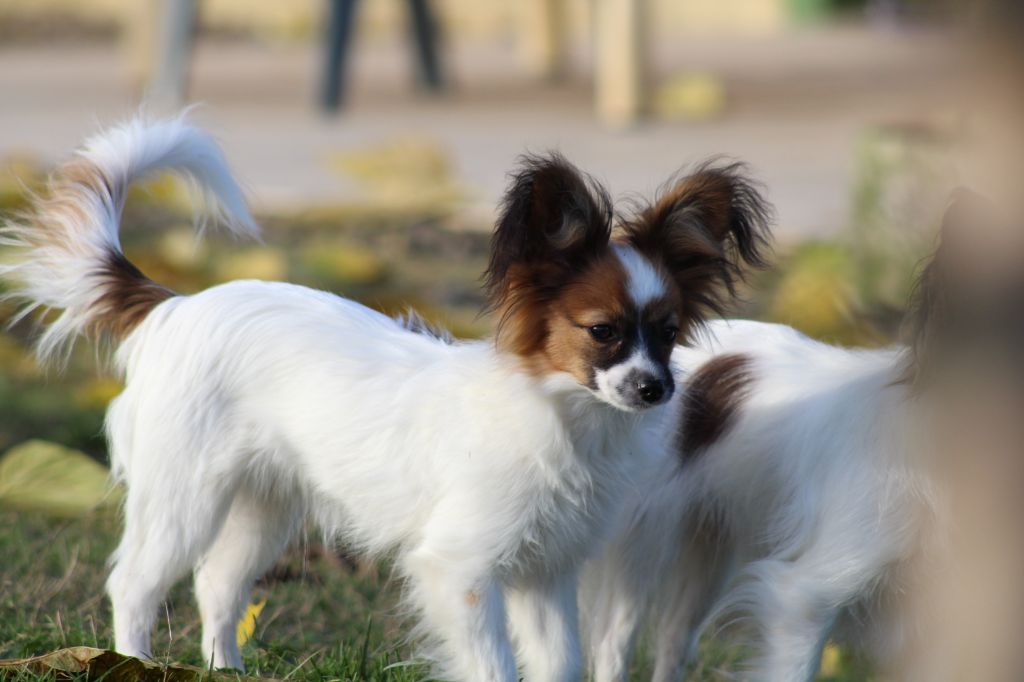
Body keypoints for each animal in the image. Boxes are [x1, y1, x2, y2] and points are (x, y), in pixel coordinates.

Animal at [0, 115, 771, 681]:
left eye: (668, 334)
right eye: (603, 332)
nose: (655, 388)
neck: (564, 419)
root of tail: (175, 304)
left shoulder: (546, 576)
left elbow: (560, 665)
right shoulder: (460, 571)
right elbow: (495, 666)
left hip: (264, 502)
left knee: (217, 583)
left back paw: (228, 671)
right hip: (182, 494)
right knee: (135, 584)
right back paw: (132, 663)